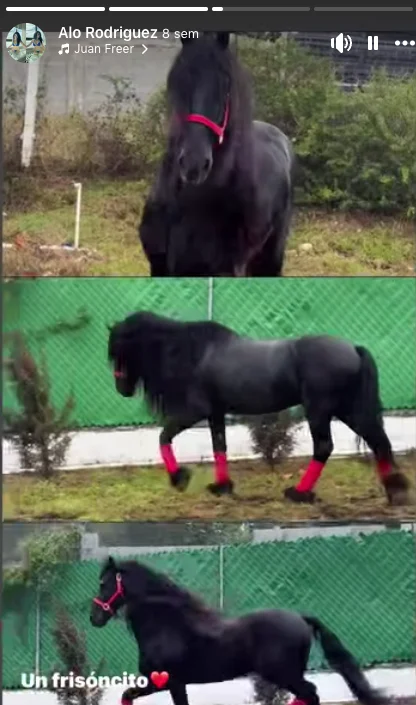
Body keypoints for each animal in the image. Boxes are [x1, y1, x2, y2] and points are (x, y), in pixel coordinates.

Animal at [90, 556, 388, 705]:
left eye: (104, 583)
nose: (95, 618)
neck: (167, 627)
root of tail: (300, 618)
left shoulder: (167, 682)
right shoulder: (167, 683)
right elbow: (127, 696)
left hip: (284, 674)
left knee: (310, 694)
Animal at [107, 311, 409, 506]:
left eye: (120, 351)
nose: (122, 389)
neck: (195, 353)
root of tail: (354, 349)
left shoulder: (195, 411)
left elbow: (163, 436)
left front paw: (179, 478)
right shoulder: (215, 412)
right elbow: (219, 446)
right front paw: (222, 487)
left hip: (320, 410)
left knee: (325, 446)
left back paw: (298, 493)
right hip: (346, 410)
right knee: (378, 440)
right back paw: (396, 491)